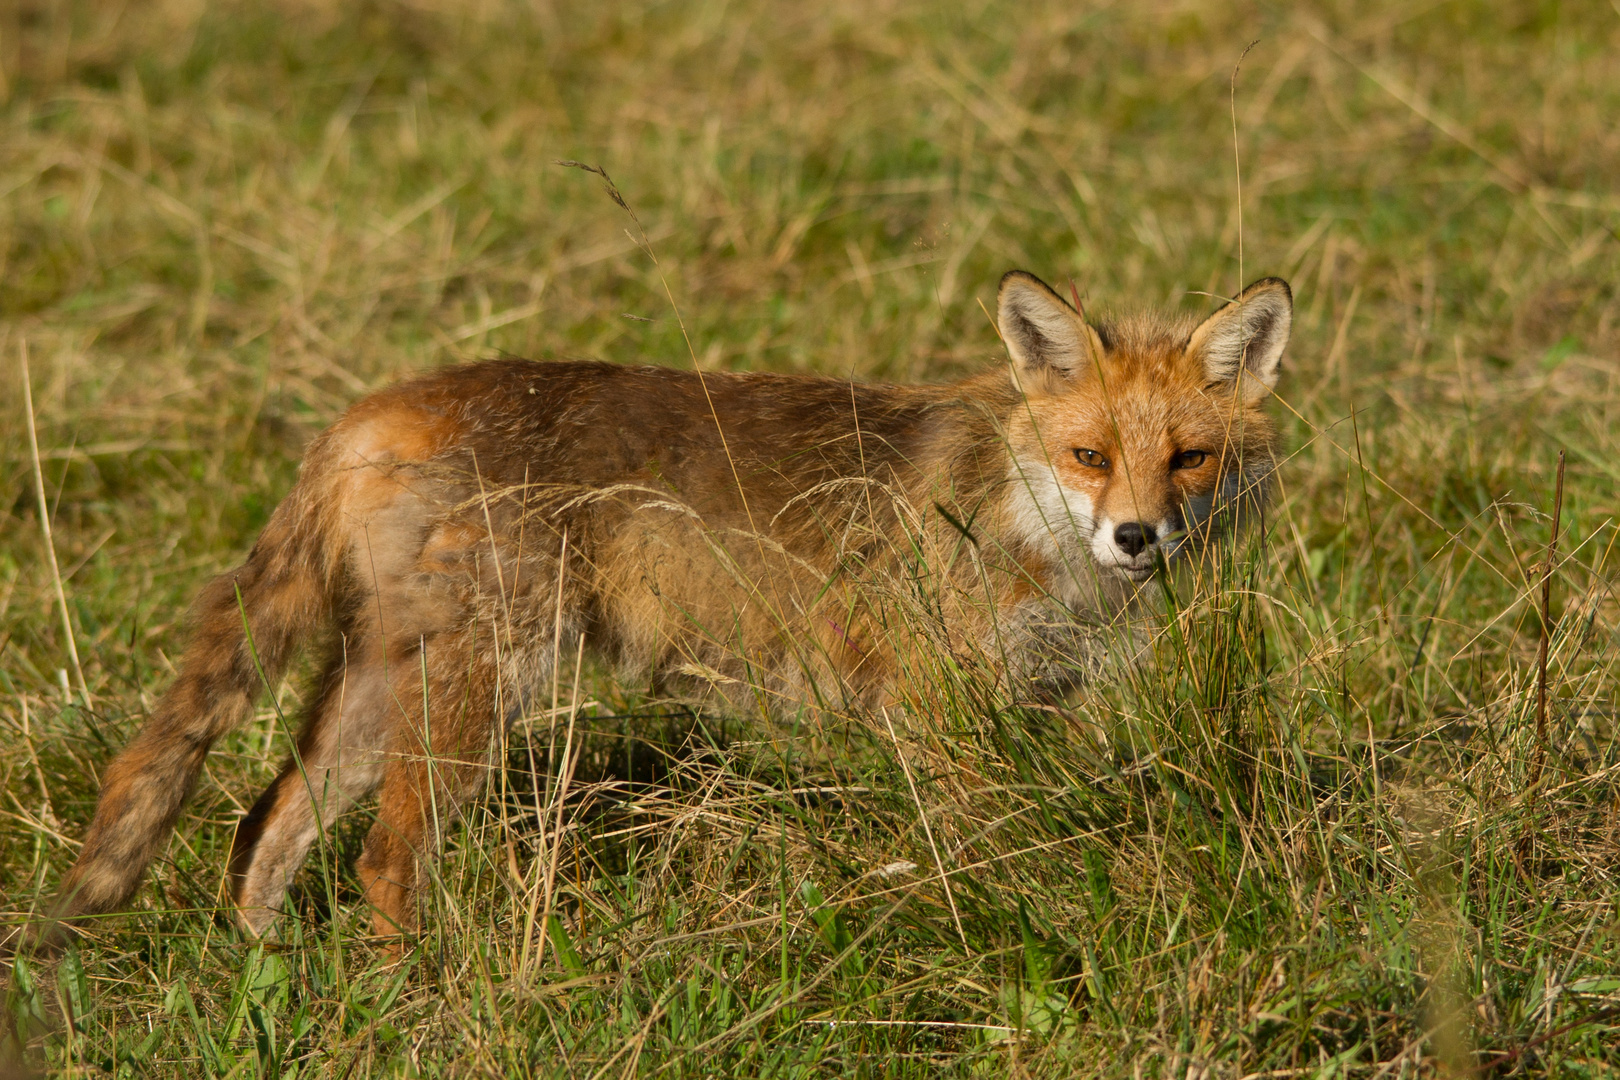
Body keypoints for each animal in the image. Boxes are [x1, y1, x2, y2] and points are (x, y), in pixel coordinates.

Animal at [19, 270, 1289, 952]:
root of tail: (370, 408)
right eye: (1089, 456)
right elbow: (983, 859)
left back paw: (274, 983)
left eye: (1187, 458)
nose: (1137, 538)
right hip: (482, 690)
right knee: (382, 858)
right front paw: (1000, 928)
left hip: (385, 690)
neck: (1013, 516)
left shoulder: (1032, 706)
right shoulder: (938, 712)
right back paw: (415, 990)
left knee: (265, 824)